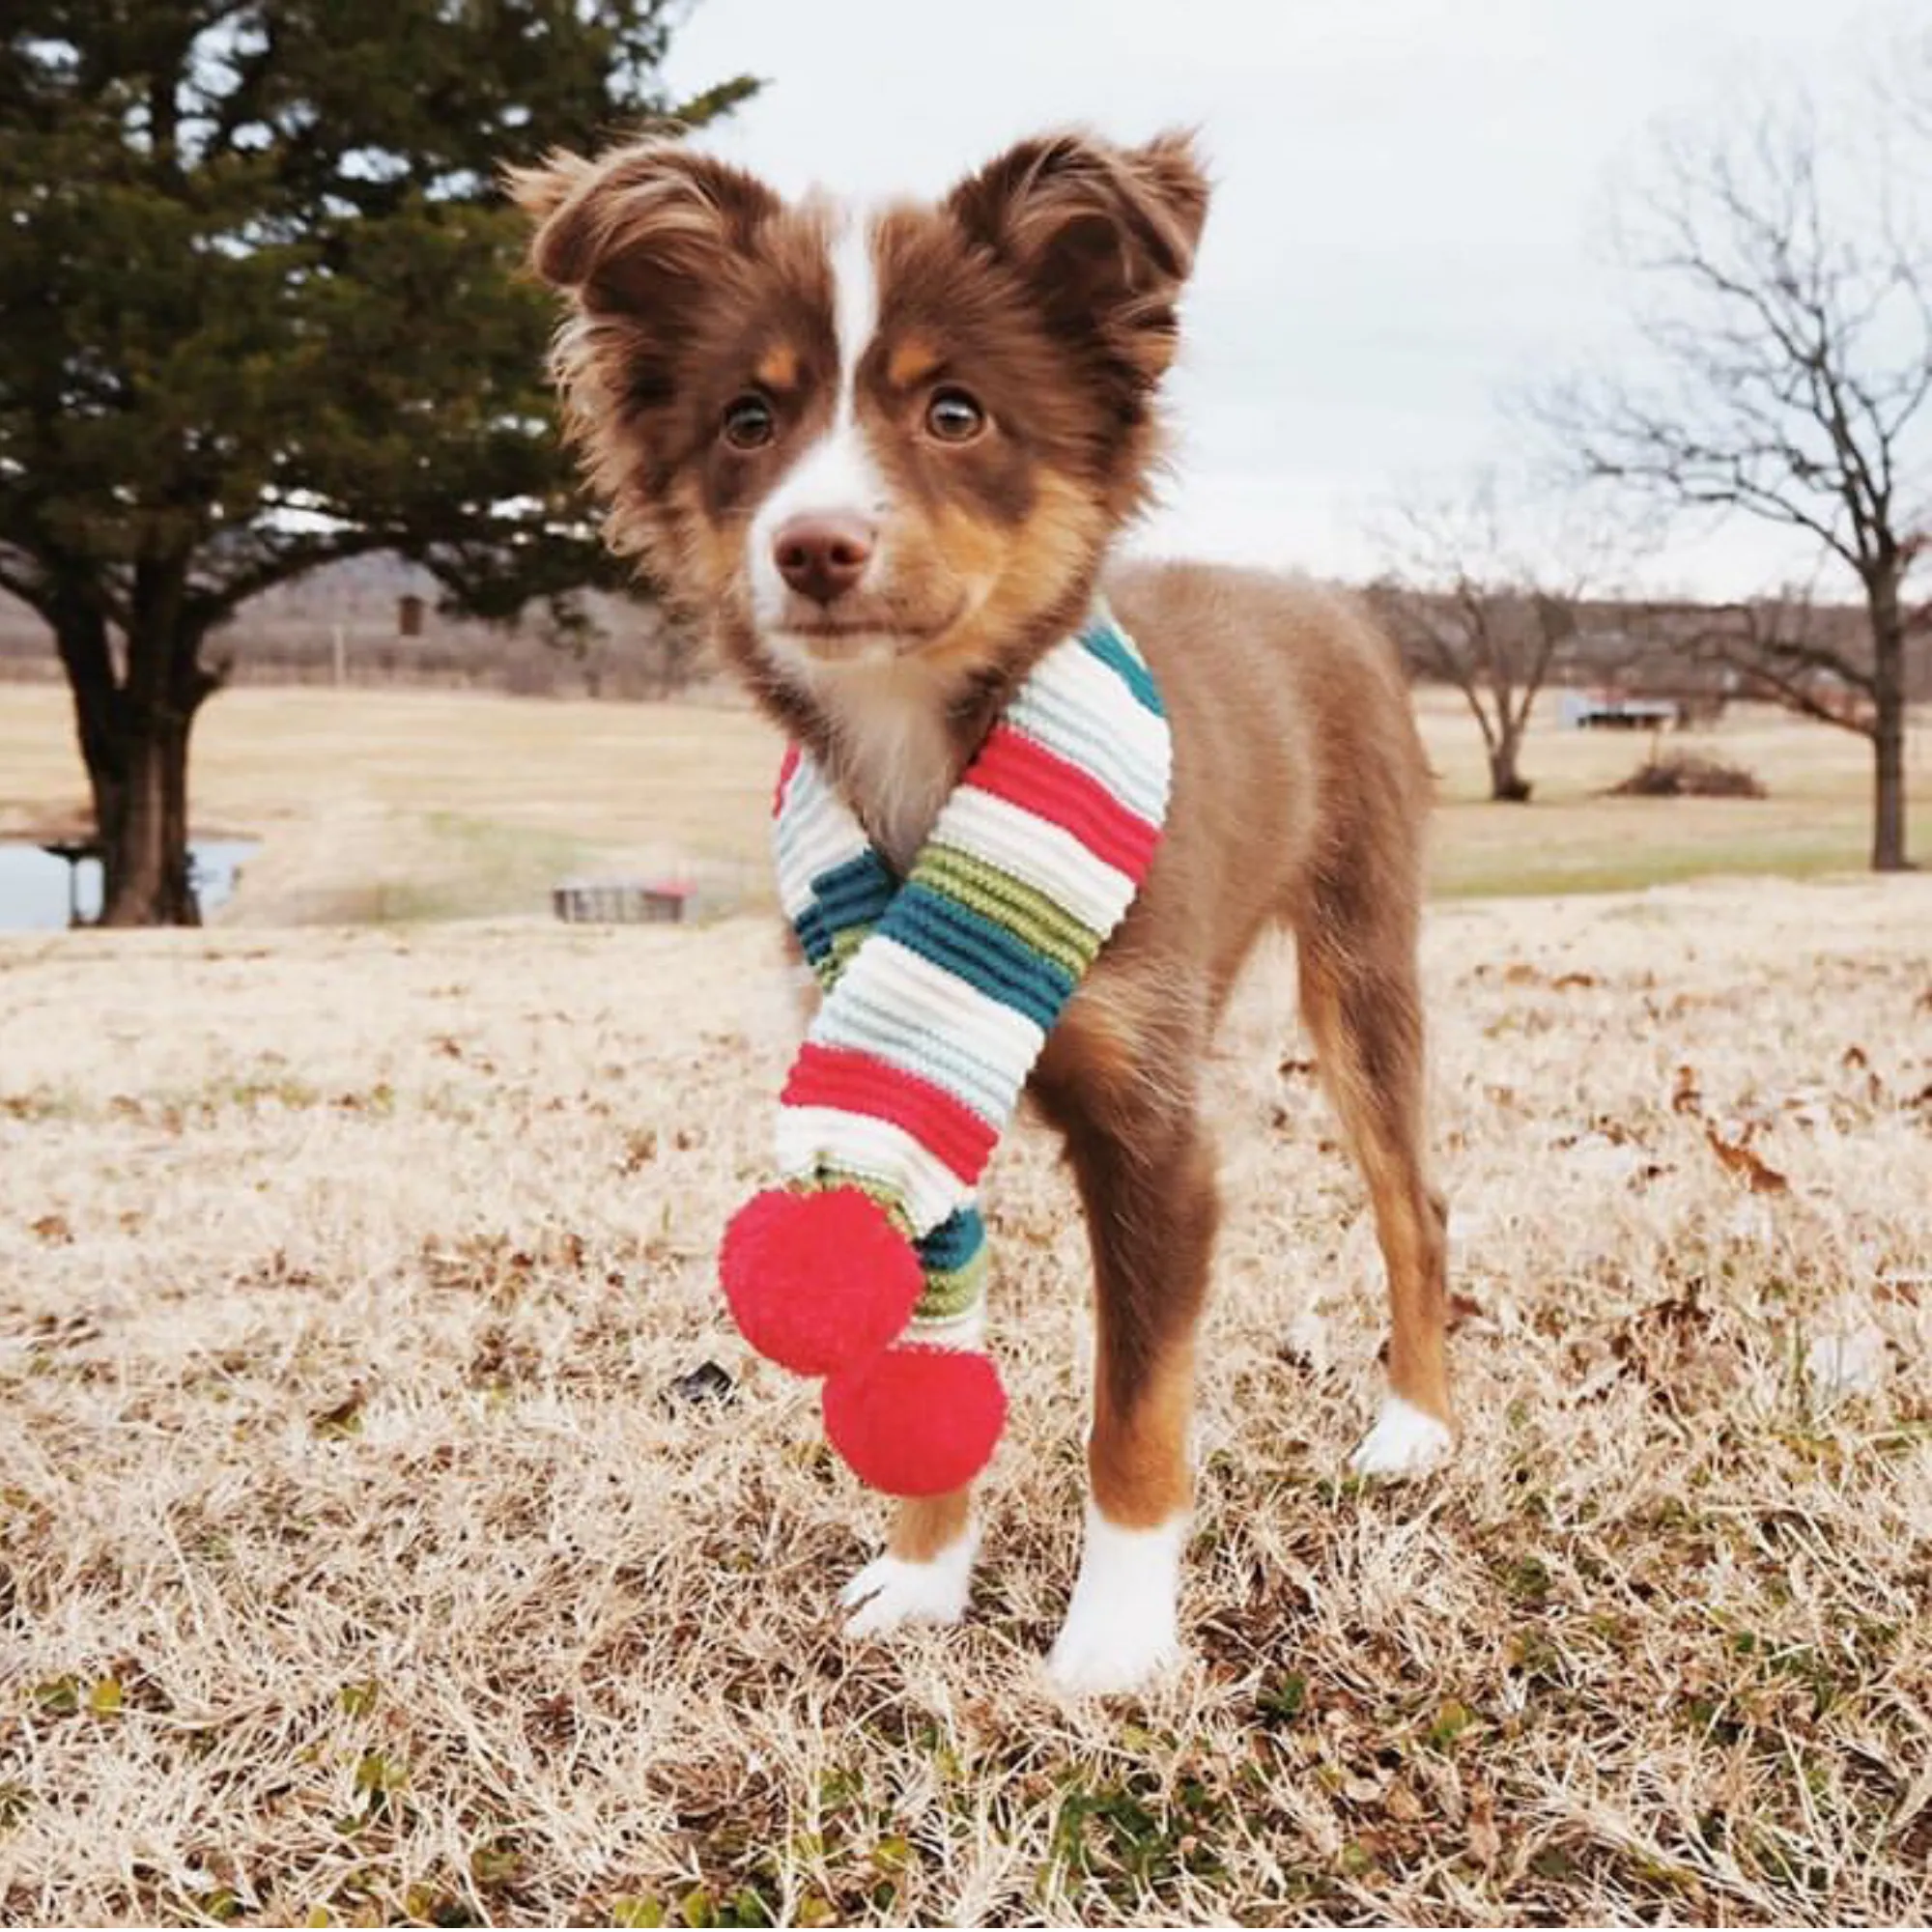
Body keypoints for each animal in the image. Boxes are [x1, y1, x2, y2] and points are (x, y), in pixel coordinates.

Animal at [514, 128, 1453, 1692]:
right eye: (748, 420)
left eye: (955, 413)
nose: (813, 546)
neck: (916, 746)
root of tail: (1327, 600)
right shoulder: (895, 1070)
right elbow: (921, 1338)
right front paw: (922, 1578)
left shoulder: (1153, 1133)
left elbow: (1135, 1411)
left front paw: (1113, 1641)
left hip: (1361, 954)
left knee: (1412, 1206)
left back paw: (1417, 1427)